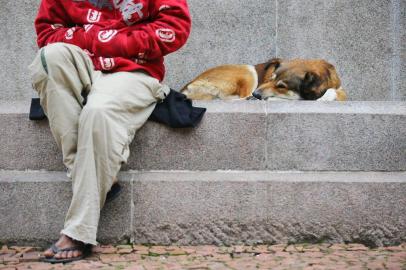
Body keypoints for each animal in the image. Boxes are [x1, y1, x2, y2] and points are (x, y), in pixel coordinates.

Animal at [181, 58, 346, 101]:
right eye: (269, 79)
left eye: (281, 86)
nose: (257, 94)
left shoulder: (340, 89)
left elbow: (337, 93)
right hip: (247, 71)